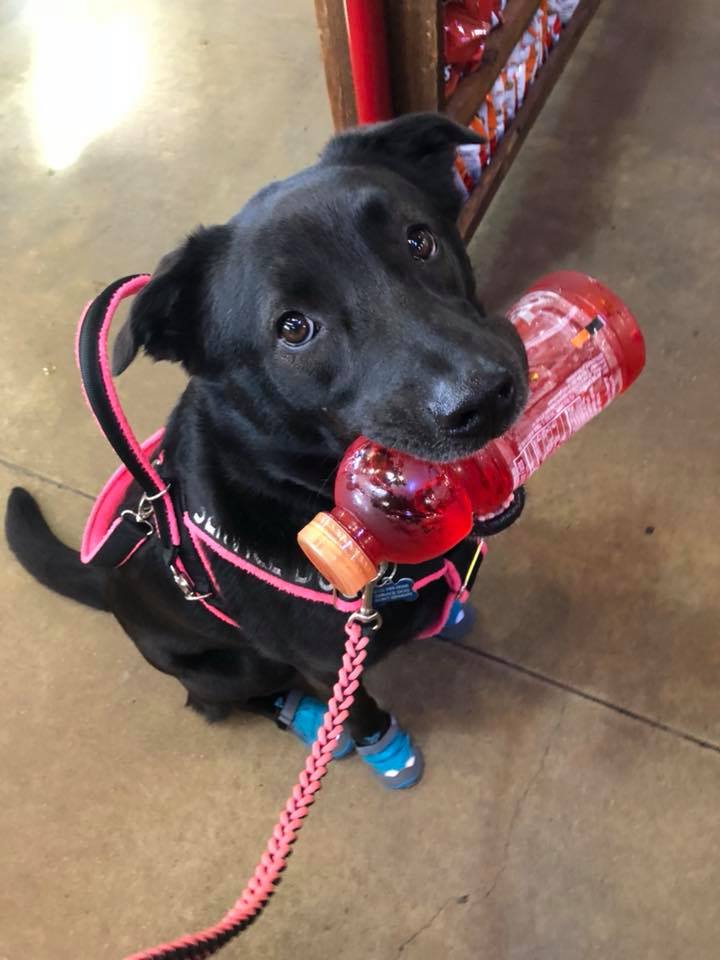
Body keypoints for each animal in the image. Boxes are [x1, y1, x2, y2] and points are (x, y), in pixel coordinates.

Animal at [2, 114, 524, 788]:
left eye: (420, 241)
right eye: (294, 328)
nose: (484, 399)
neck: (305, 495)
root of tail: (103, 578)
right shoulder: (330, 666)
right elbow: (358, 709)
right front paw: (381, 747)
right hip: (230, 666)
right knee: (219, 699)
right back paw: (299, 715)